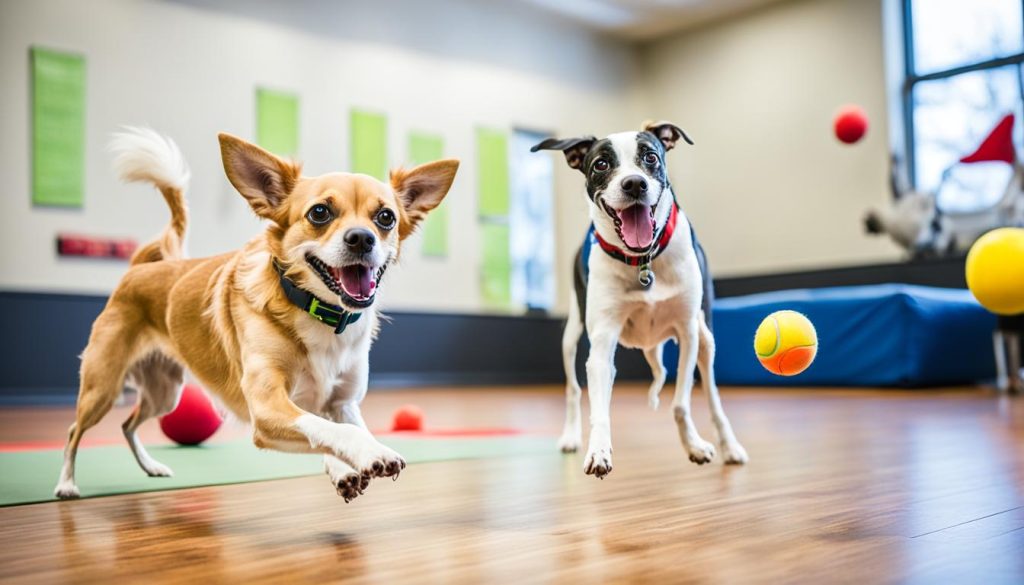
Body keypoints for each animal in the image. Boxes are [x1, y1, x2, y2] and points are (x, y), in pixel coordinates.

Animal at [54, 129, 458, 504]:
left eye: (386, 217)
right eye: (319, 212)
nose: (362, 238)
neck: (320, 313)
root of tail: (145, 267)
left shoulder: (342, 403)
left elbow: (341, 428)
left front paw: (346, 465)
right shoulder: (267, 407)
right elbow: (335, 431)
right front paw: (369, 454)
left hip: (163, 393)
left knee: (127, 424)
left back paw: (150, 466)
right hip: (102, 388)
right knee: (74, 431)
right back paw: (66, 484)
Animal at [536, 121, 745, 477]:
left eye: (650, 157)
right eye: (601, 164)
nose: (634, 183)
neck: (643, 260)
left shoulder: (688, 333)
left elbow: (681, 403)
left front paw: (695, 446)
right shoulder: (602, 341)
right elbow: (599, 406)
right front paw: (598, 450)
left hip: (706, 339)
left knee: (714, 397)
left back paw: (729, 446)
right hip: (572, 336)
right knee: (574, 389)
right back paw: (571, 436)